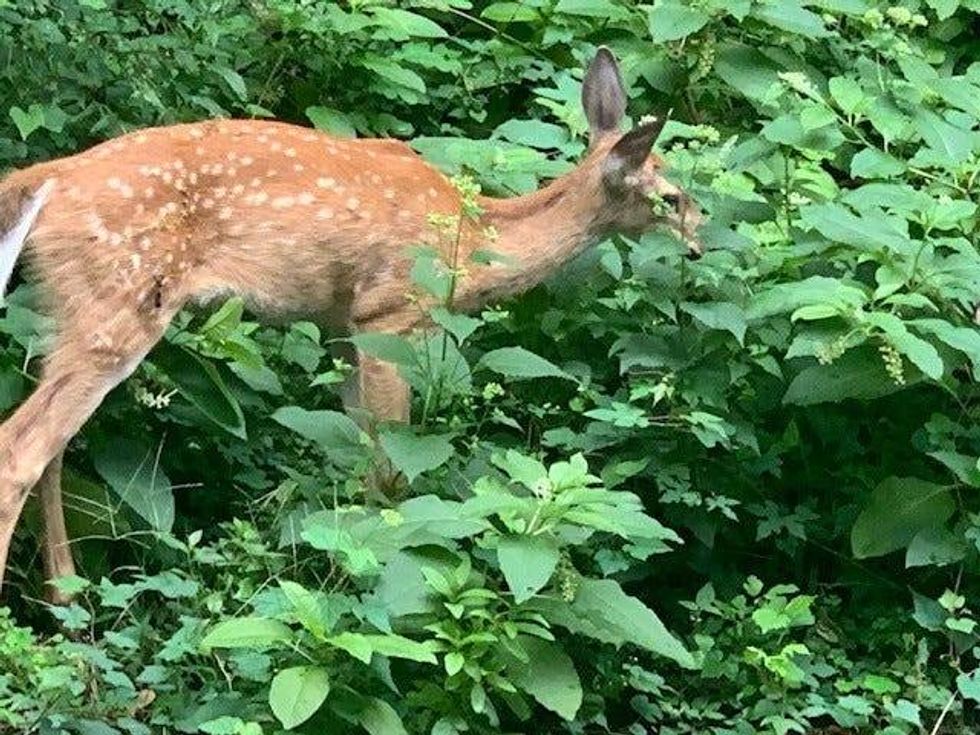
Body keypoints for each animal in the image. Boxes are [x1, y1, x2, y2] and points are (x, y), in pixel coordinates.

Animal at [0, 48, 702, 597]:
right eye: (671, 198)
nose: (699, 241)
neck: (474, 236)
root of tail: (45, 177)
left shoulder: (341, 325)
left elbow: (361, 459)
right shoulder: (390, 311)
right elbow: (390, 469)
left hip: (70, 306)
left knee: (52, 445)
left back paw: (67, 599)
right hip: (126, 293)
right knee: (21, 448)